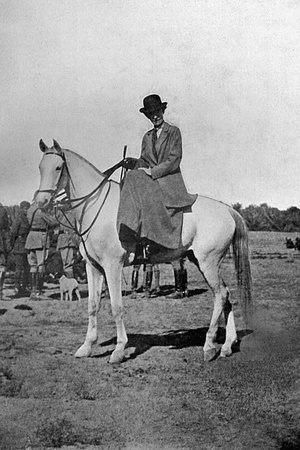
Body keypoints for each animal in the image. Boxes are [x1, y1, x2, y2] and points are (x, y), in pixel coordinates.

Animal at [35, 140, 253, 362]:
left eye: (58, 167)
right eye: (40, 167)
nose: (41, 202)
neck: (97, 208)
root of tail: (227, 209)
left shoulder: (113, 266)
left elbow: (116, 307)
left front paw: (119, 350)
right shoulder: (93, 267)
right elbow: (92, 305)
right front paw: (86, 347)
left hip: (208, 262)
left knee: (220, 295)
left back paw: (209, 346)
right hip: (202, 262)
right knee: (226, 295)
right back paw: (227, 345)